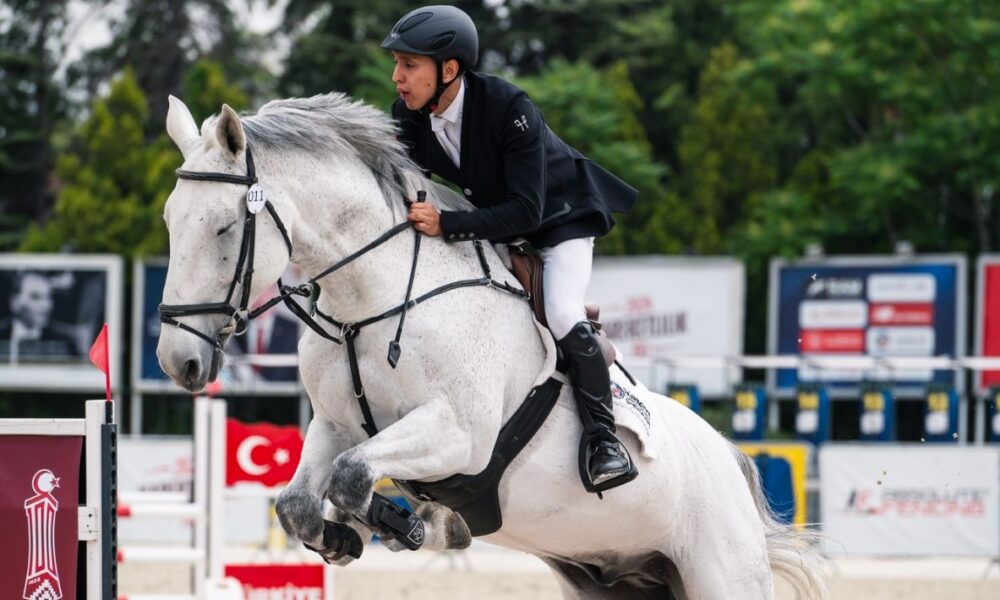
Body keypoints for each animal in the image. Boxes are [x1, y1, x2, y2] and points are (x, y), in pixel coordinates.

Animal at [156, 94, 828, 600]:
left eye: (223, 227)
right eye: (168, 221)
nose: (176, 361)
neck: (369, 306)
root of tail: (732, 459)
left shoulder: (461, 435)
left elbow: (351, 477)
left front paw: (414, 526)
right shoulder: (335, 424)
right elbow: (299, 502)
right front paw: (353, 536)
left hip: (721, 574)